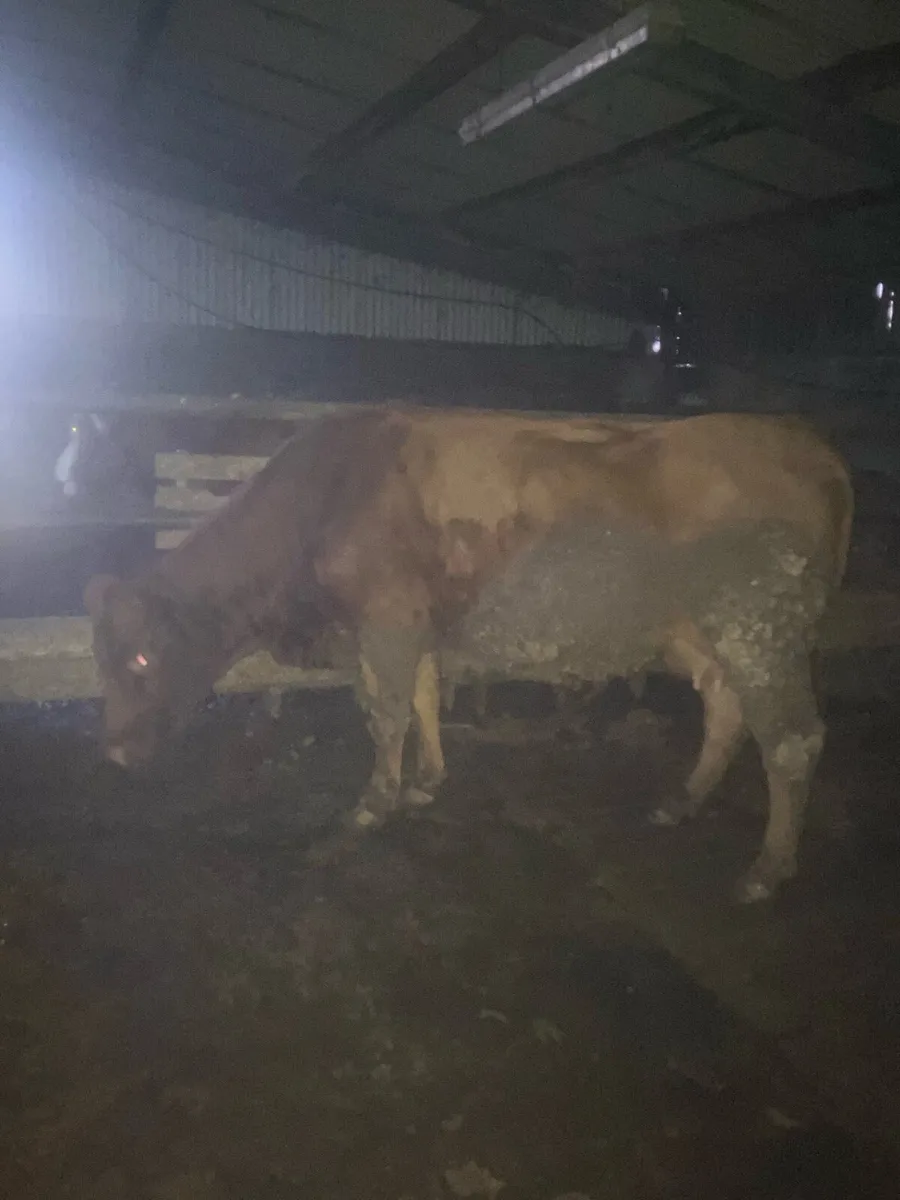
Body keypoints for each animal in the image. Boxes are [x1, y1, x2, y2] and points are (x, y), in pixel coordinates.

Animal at [84, 408, 853, 902]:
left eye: (142, 661)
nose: (113, 751)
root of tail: (812, 447)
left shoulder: (387, 621)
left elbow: (385, 711)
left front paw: (370, 808)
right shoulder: (415, 625)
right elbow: (423, 696)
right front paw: (427, 778)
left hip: (761, 629)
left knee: (792, 739)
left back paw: (766, 867)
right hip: (703, 632)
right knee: (725, 708)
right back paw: (682, 801)